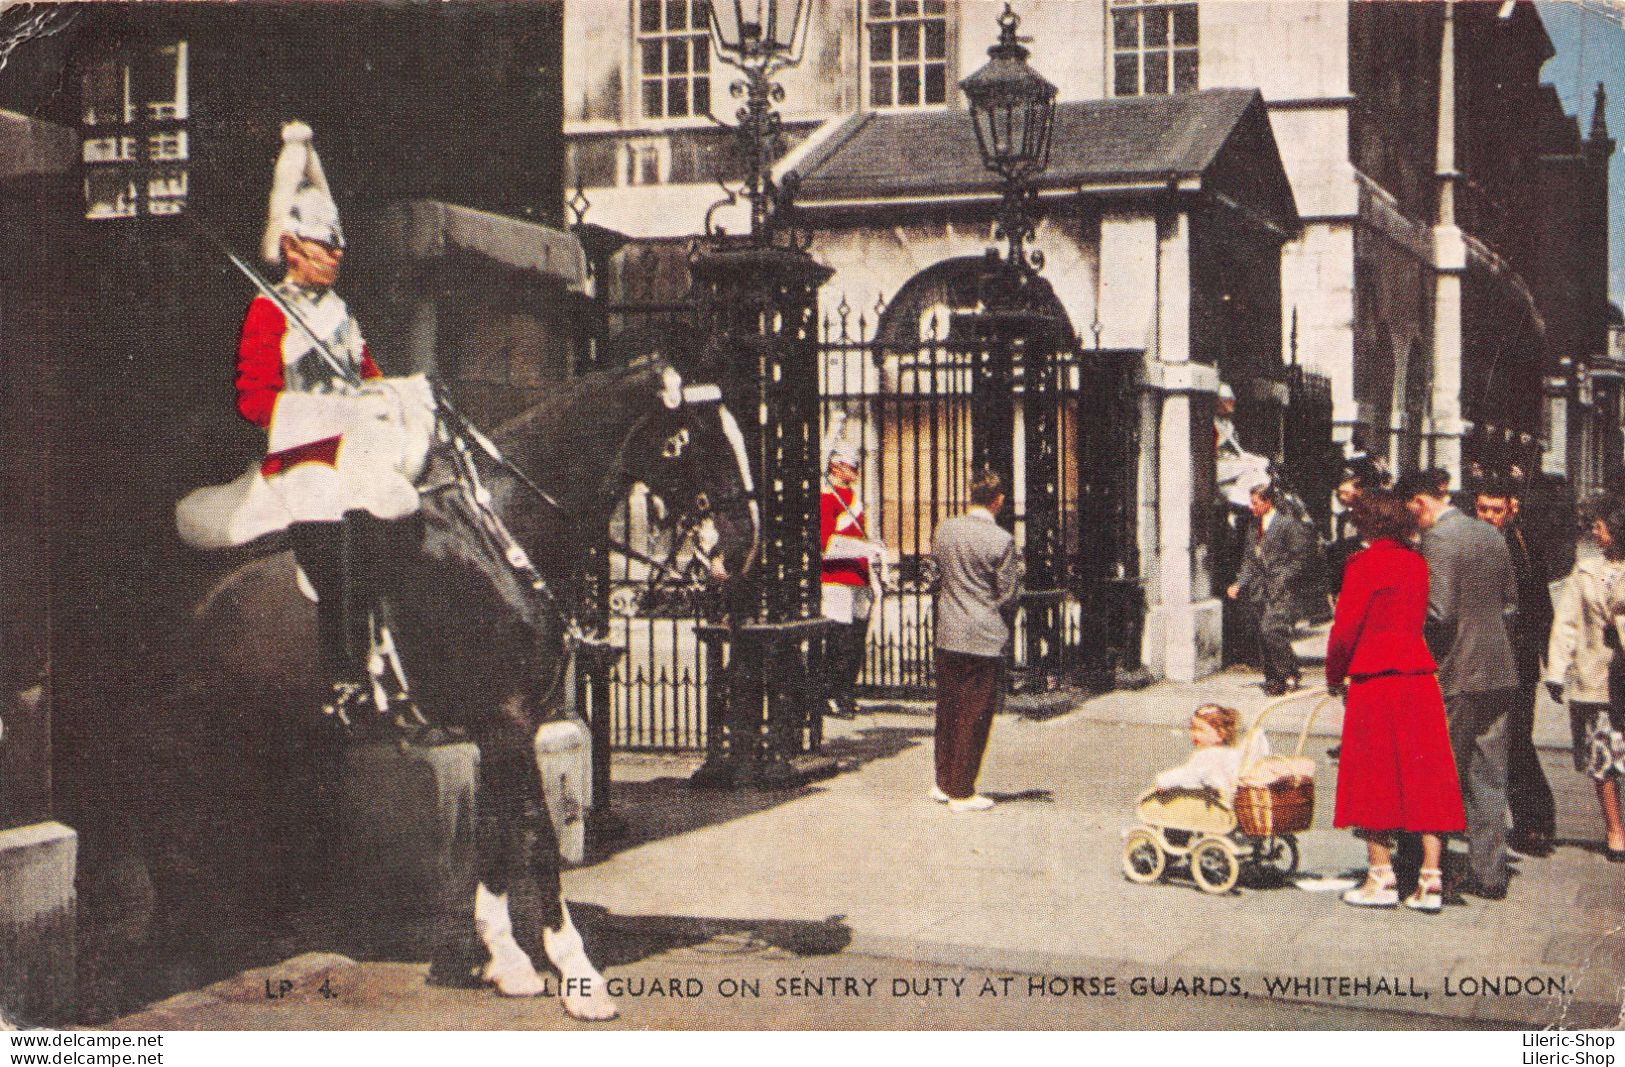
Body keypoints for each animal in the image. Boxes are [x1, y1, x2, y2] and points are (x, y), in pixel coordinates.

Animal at [174, 362, 757, 1019]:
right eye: (693, 443)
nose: (743, 546)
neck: (501, 538)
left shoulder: (510, 725)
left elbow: (495, 827)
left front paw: (505, 958)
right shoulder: (508, 722)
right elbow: (533, 829)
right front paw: (575, 972)